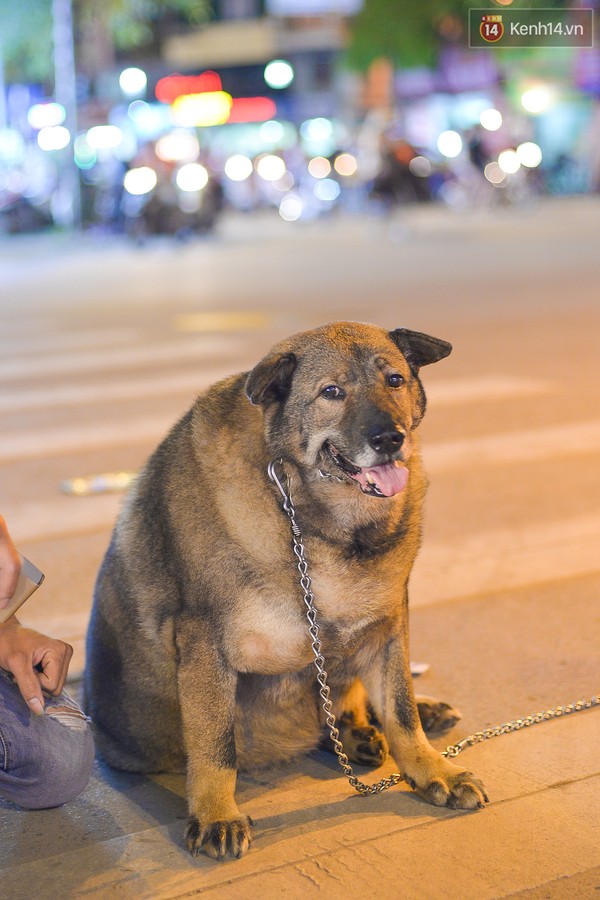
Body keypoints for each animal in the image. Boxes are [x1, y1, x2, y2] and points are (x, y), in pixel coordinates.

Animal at [84, 322, 488, 856]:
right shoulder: (204, 643)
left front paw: (431, 769)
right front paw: (216, 813)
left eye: (395, 380)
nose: (389, 438)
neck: (309, 510)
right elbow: (215, 745)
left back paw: (380, 724)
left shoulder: (388, 625)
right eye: (331, 392)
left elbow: (402, 713)